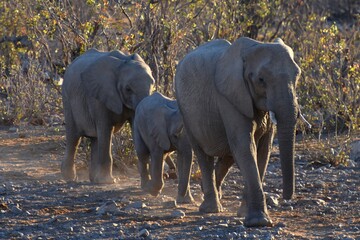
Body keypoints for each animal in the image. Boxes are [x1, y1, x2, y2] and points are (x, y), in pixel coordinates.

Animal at [62, 48, 155, 184]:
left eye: (153, 84)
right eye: (128, 89)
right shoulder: (99, 96)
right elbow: (106, 129)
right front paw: (109, 181)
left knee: (95, 139)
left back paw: (94, 179)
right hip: (68, 100)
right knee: (74, 138)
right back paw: (70, 178)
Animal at [174, 37, 300, 227]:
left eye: (297, 75)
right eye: (261, 79)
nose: (286, 197)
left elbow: (263, 151)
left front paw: (245, 213)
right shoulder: (228, 96)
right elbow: (245, 146)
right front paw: (258, 222)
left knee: (228, 155)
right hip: (185, 111)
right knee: (203, 155)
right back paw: (210, 208)